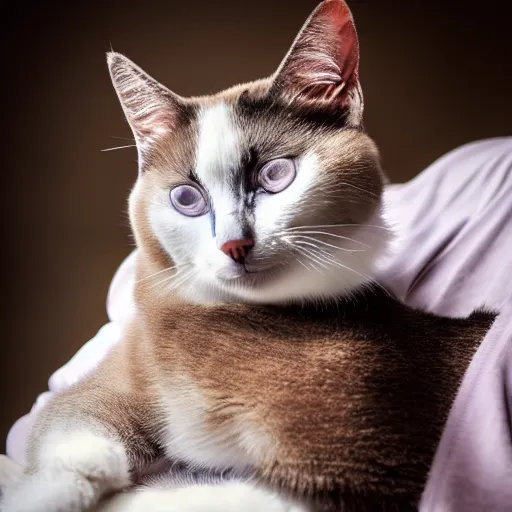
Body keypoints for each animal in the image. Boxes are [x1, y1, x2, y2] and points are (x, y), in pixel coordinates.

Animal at [0, 1, 496, 512]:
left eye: (275, 174)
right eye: (186, 198)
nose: (234, 244)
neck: (236, 322)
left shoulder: (371, 459)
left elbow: (181, 497)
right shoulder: (125, 365)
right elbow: (70, 420)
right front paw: (45, 490)